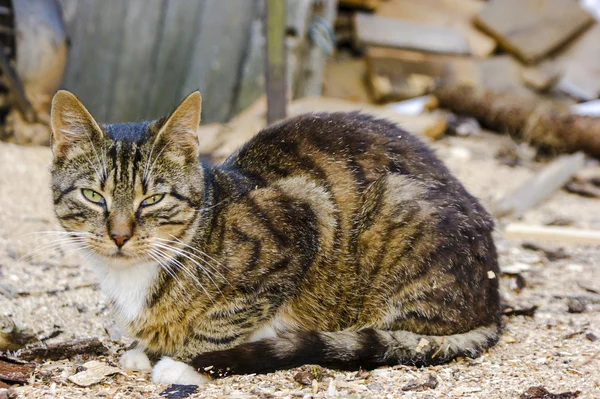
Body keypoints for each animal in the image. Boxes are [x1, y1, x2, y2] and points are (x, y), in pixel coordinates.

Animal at [50, 90, 502, 384]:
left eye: (154, 199)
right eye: (93, 196)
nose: (119, 235)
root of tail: (494, 307)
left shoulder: (299, 220)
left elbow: (225, 318)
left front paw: (188, 362)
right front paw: (147, 350)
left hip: (397, 207)